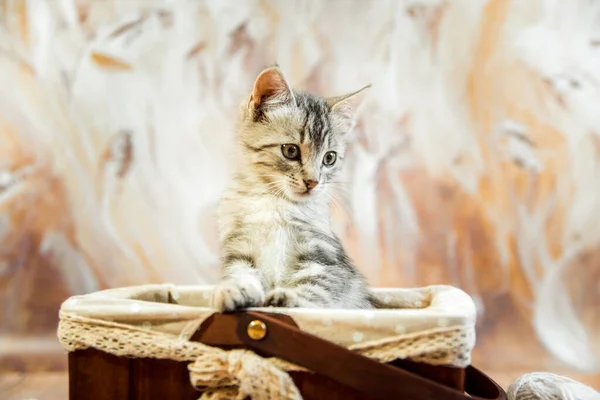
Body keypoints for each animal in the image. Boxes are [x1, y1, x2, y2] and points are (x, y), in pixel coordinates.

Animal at [212, 65, 376, 310]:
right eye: (290, 151)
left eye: (329, 158)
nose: (313, 182)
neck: (274, 202)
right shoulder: (239, 248)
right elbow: (239, 272)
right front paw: (234, 290)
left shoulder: (326, 258)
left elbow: (317, 286)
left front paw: (289, 297)